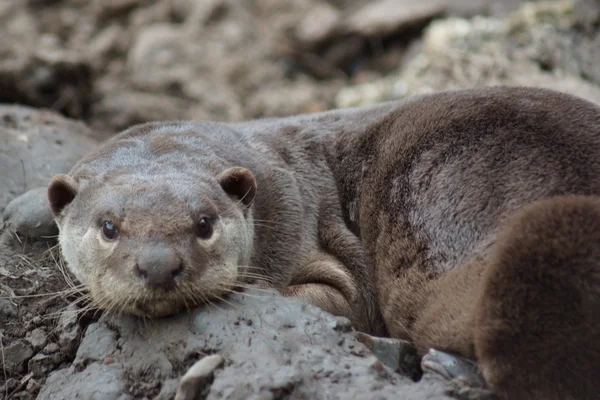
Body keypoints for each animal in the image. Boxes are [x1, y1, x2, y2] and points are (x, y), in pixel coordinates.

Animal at [2, 86, 596, 398]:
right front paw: (25, 207)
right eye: (108, 227)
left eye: (204, 223)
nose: (159, 265)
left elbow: (338, 299)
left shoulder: (310, 234)